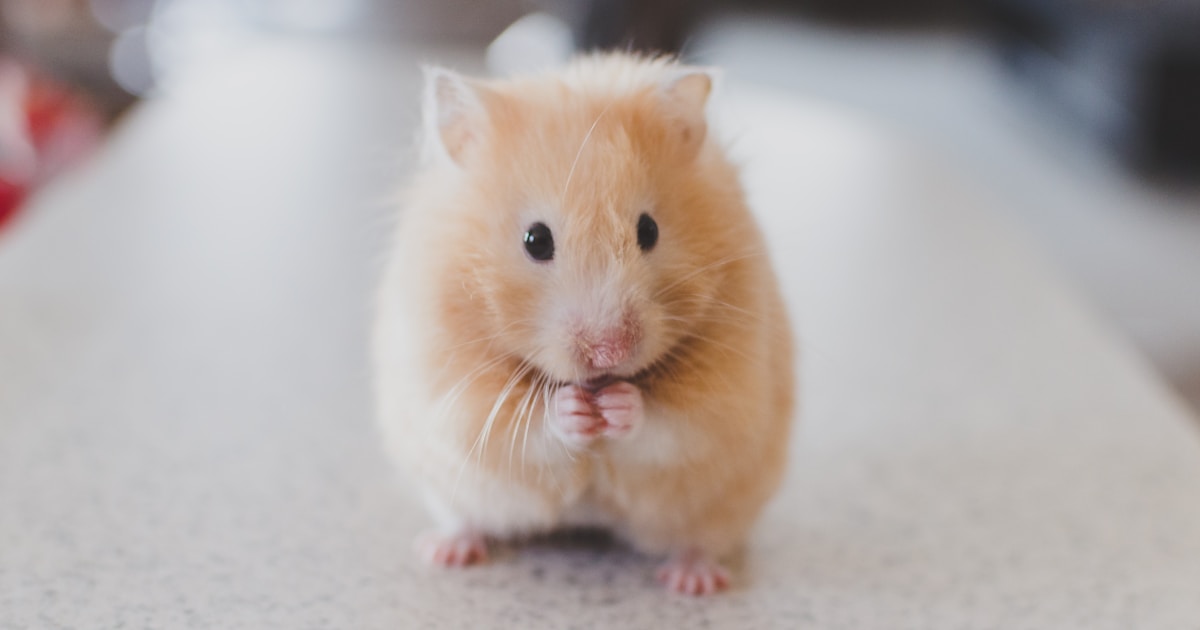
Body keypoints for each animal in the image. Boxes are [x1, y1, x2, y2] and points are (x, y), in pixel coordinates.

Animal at [373, 52, 795, 596]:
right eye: (535, 240)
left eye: (649, 230)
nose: (609, 352)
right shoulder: (453, 391)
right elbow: (524, 426)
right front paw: (574, 409)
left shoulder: (729, 394)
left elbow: (672, 424)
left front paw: (618, 406)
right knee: (465, 518)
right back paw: (444, 551)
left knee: (700, 539)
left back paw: (693, 581)